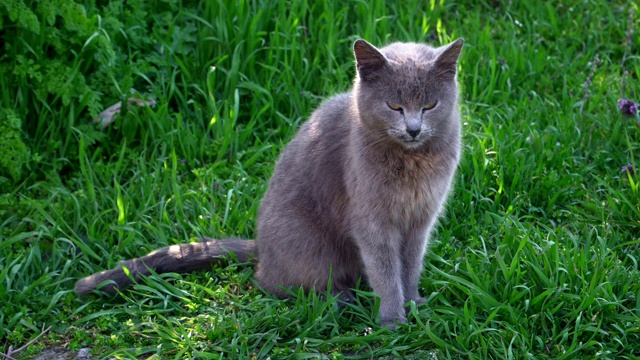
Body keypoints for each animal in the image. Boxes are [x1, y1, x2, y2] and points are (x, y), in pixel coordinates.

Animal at [77, 38, 462, 328]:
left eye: (430, 104)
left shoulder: (421, 218)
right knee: (272, 283)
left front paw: (414, 304)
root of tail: (261, 247)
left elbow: (410, 266)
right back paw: (339, 299)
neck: (412, 163)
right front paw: (393, 320)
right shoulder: (373, 221)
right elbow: (385, 271)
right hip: (308, 244)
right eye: (394, 106)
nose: (413, 129)